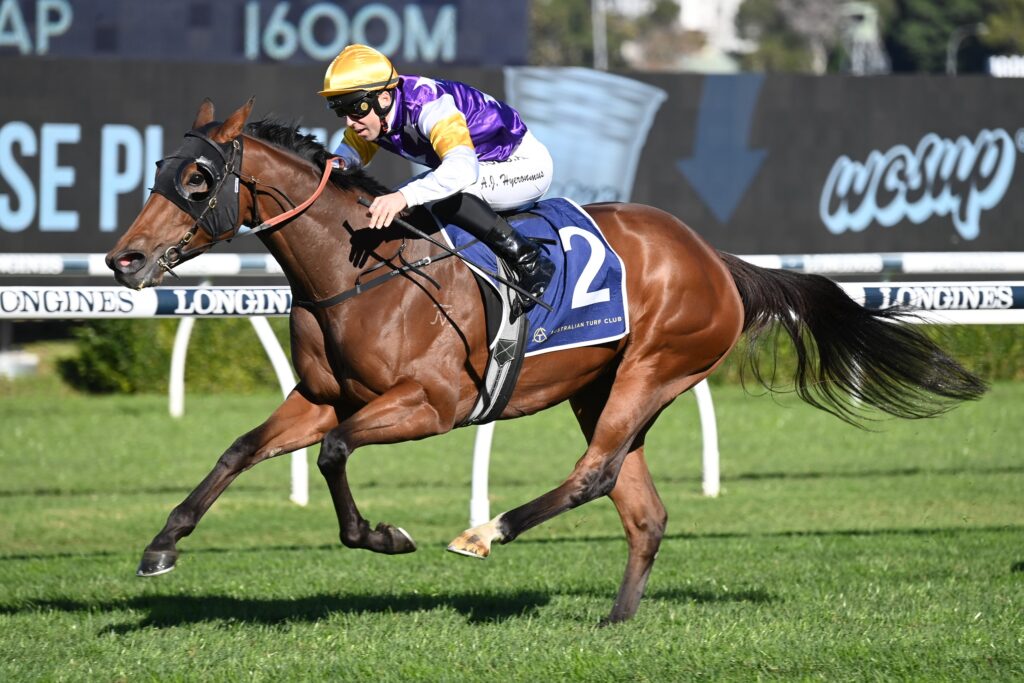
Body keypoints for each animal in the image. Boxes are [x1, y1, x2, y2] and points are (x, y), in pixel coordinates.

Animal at [106, 98, 986, 624]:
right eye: (157, 171)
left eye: (197, 178)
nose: (125, 259)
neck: (360, 270)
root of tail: (715, 258)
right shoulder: (322, 394)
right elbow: (240, 449)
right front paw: (162, 545)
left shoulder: (431, 404)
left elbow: (334, 453)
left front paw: (384, 534)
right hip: (602, 388)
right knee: (642, 506)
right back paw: (617, 617)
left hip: (654, 367)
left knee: (594, 474)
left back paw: (486, 531)